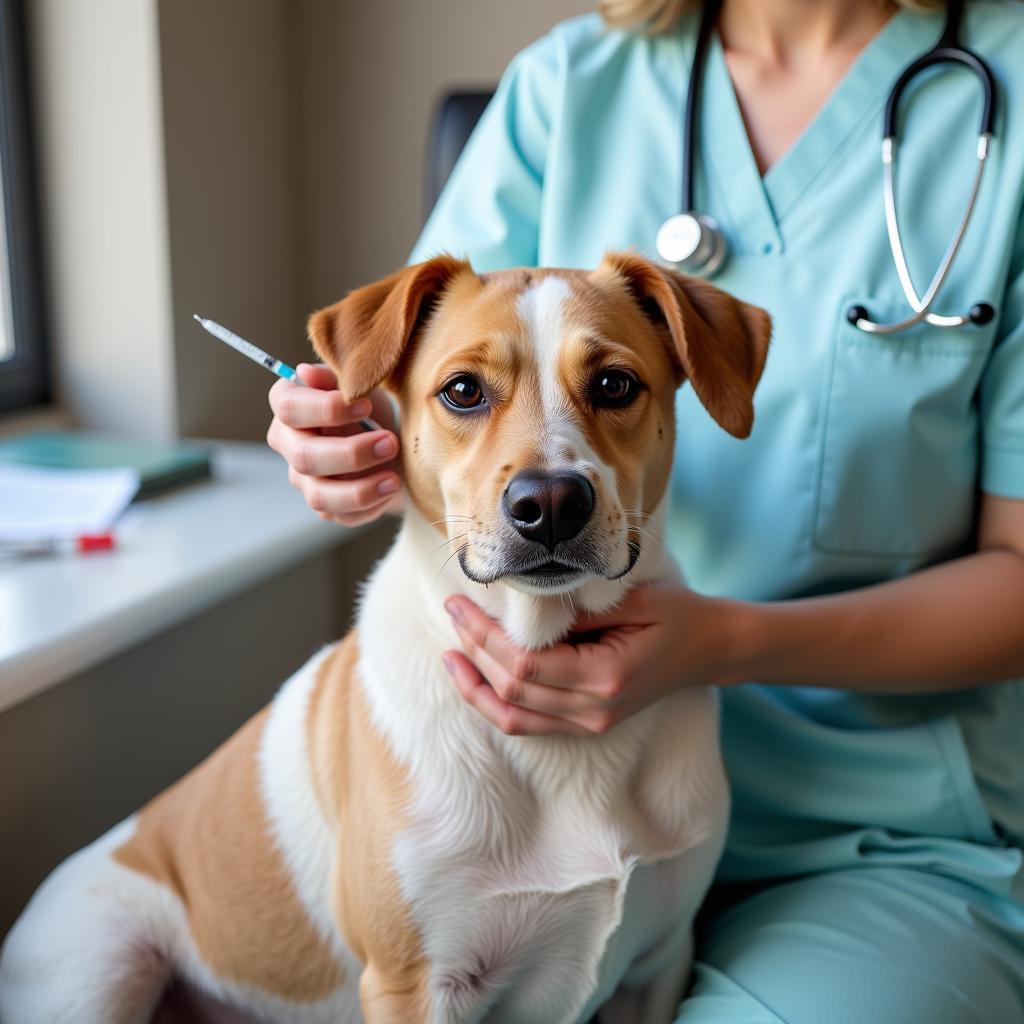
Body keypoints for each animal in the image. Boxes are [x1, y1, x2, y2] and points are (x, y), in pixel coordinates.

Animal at [0, 249, 770, 1024]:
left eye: (614, 384)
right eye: (462, 391)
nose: (549, 502)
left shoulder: (659, 962)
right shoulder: (413, 985)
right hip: (101, 969)